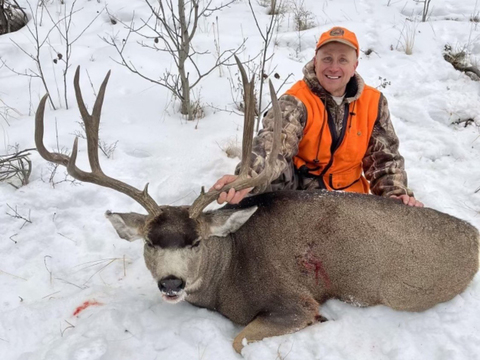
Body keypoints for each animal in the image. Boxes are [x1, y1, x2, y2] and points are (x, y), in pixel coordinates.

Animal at [35, 63, 478, 352]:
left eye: (196, 242)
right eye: (148, 243)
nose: (171, 283)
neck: (230, 271)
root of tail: (473, 235)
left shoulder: (295, 301)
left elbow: (239, 340)